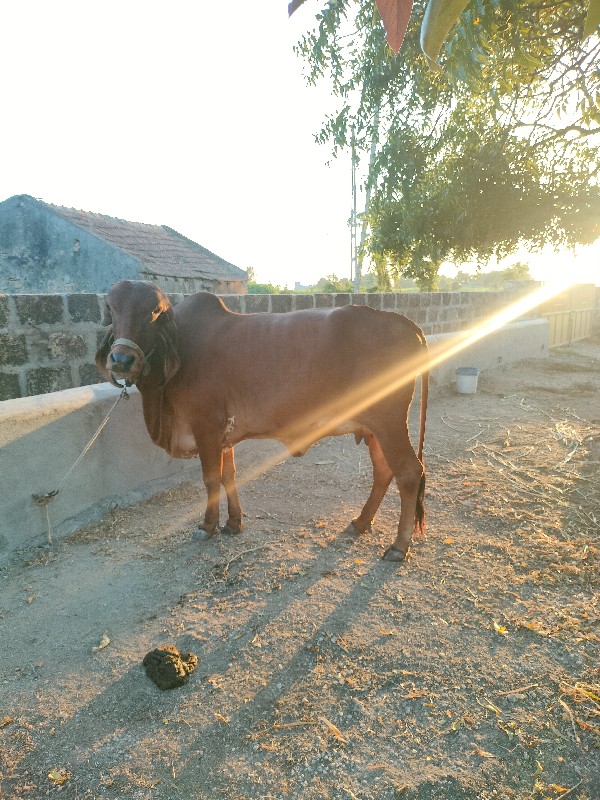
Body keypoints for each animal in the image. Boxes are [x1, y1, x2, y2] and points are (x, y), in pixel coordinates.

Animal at [96, 282, 428, 564]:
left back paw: (399, 546)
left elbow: (211, 479)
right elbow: (229, 475)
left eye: (153, 311)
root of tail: (403, 321)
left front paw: (207, 525)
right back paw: (360, 522)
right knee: (384, 471)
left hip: (389, 423)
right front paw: (233, 522)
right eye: (111, 308)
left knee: (409, 472)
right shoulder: (223, 436)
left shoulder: (206, 427)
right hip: (373, 429)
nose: (122, 360)